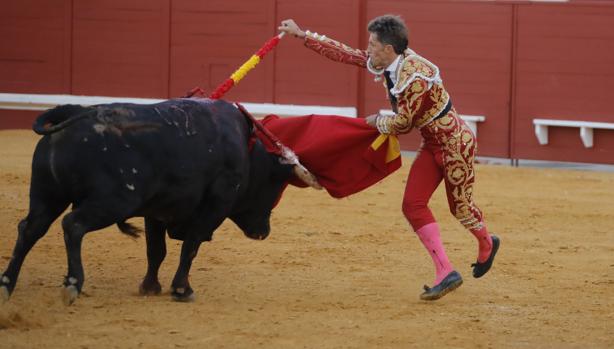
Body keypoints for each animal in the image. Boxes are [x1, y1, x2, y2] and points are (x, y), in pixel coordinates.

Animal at [0, 98, 298, 304]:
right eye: (275, 186)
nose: (264, 232)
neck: (246, 149)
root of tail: (74, 113)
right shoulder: (215, 206)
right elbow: (191, 245)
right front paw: (182, 289)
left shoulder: (157, 211)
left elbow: (156, 250)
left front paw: (150, 287)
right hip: (113, 201)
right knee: (73, 224)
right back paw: (72, 284)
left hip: (47, 195)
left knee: (29, 229)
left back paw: (7, 285)